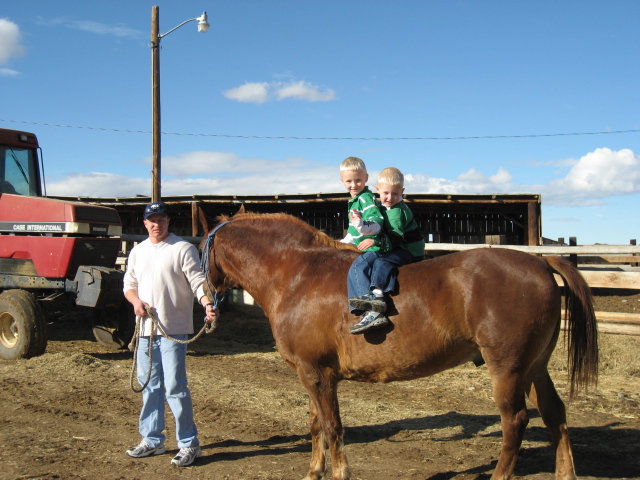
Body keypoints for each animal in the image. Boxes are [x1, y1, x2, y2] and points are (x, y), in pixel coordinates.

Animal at [199, 210, 596, 480]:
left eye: (199, 249)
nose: (205, 299)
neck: (296, 274)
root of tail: (539, 262)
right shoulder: (311, 374)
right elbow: (316, 426)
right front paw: (314, 471)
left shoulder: (317, 375)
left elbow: (333, 427)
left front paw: (339, 473)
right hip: (535, 367)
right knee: (554, 414)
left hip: (508, 369)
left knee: (515, 421)